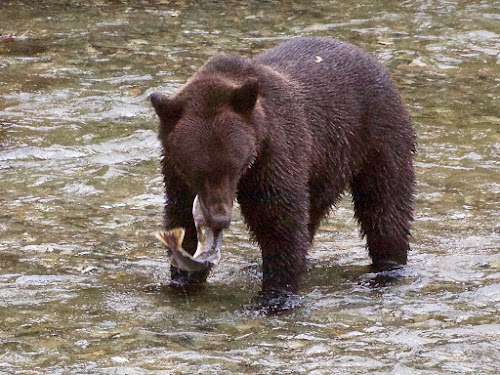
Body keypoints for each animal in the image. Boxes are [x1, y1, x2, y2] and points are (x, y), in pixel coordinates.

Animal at [150, 36, 416, 296]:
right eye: (198, 171)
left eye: (233, 166)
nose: (220, 219)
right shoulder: (175, 172)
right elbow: (181, 215)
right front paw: (183, 279)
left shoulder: (276, 155)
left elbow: (280, 222)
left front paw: (276, 293)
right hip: (324, 169)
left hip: (378, 137)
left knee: (385, 205)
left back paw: (388, 266)